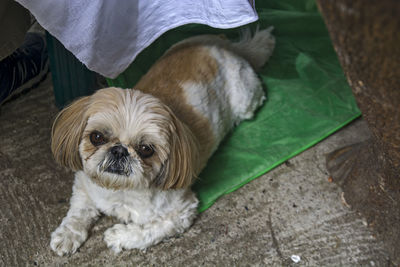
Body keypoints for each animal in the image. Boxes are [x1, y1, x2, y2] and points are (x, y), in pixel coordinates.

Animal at [49, 26, 276, 255]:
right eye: (96, 137)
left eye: (145, 149)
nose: (119, 150)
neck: (120, 191)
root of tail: (224, 45)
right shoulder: (84, 184)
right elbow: (79, 210)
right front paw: (68, 234)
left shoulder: (180, 212)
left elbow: (147, 231)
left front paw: (119, 235)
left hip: (246, 100)